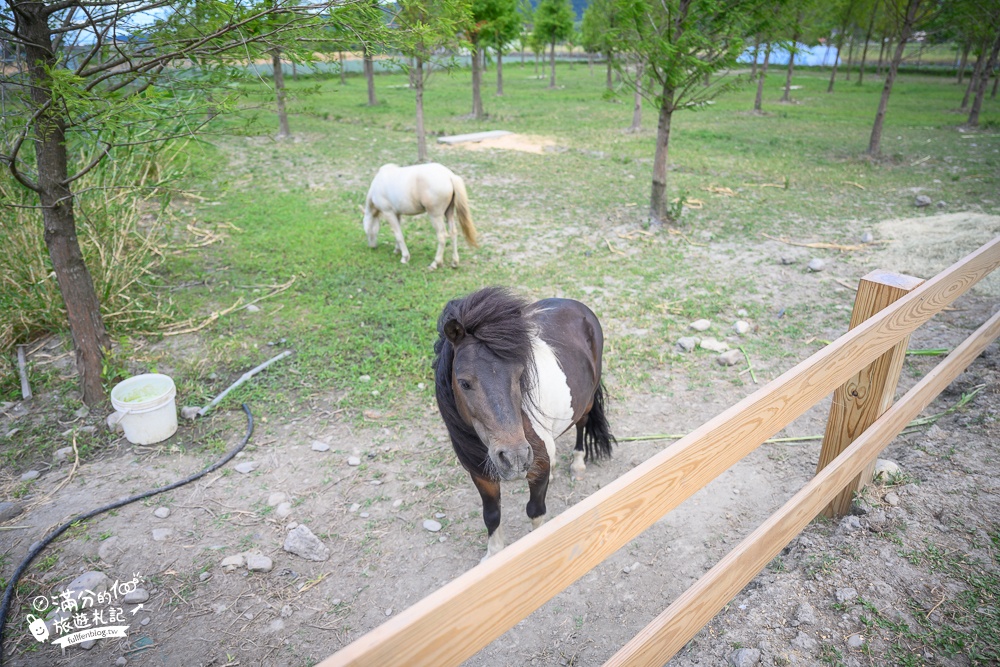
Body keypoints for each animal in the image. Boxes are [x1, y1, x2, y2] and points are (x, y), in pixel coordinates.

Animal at [432, 290, 612, 560]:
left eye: (520, 375)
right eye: (464, 383)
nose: (514, 457)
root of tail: (574, 304)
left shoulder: (537, 471)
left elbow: (535, 512)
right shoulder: (480, 474)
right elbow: (491, 515)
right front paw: (493, 556)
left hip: (586, 401)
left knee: (581, 424)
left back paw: (578, 464)